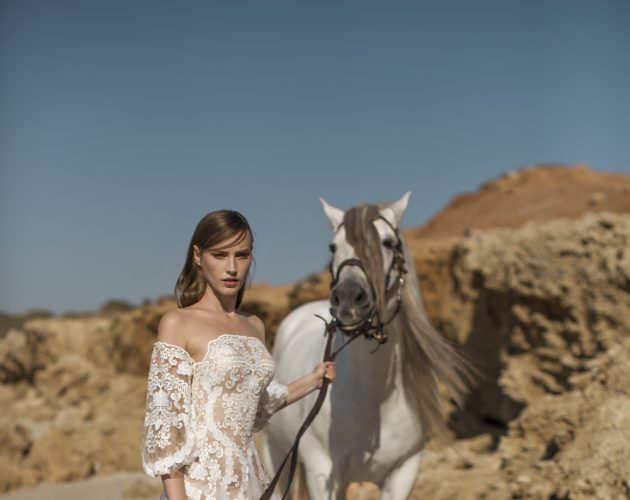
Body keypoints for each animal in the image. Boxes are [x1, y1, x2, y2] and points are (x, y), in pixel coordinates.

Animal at [262, 193, 474, 498]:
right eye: (333, 246)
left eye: (388, 242)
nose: (349, 300)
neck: (375, 399)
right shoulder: (321, 471)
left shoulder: (403, 473)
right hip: (276, 454)